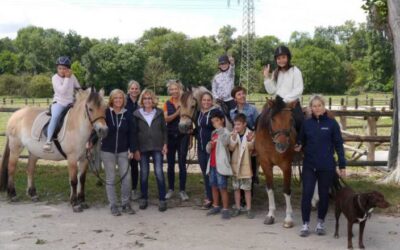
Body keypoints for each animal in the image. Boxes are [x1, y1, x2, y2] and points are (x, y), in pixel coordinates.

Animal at [255, 94, 298, 228]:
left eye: (291, 119)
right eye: (272, 119)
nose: (282, 145)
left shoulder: (286, 165)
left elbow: (286, 190)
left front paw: (288, 218)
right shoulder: (265, 164)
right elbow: (270, 189)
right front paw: (270, 215)